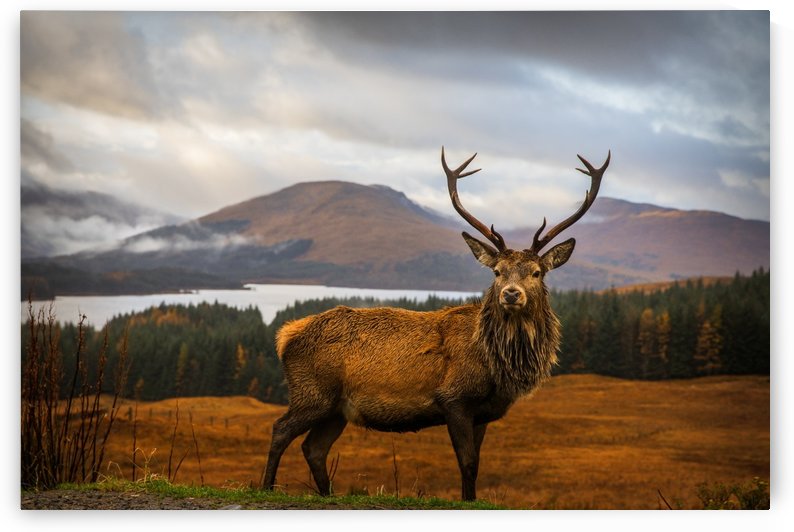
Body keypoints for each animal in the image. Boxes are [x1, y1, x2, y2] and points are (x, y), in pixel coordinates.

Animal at [261, 147, 610, 501]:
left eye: (537, 272)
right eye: (497, 272)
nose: (511, 294)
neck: (498, 367)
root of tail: (285, 335)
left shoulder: (483, 413)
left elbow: (476, 464)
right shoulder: (453, 399)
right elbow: (467, 463)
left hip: (336, 409)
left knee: (314, 448)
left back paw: (327, 494)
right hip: (312, 393)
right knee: (280, 430)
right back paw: (266, 487)